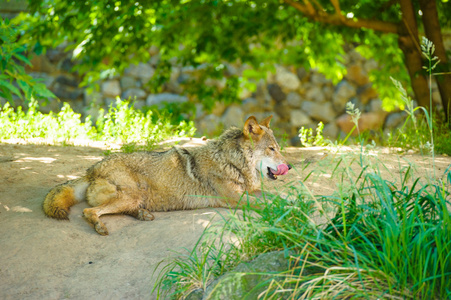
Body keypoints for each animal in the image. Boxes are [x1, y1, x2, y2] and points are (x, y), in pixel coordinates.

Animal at [43, 116, 294, 236]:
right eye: (271, 149)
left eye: (278, 148)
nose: (289, 166)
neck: (232, 162)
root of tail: (91, 170)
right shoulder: (235, 199)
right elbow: (269, 205)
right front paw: (288, 210)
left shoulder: (252, 191)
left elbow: (278, 198)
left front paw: (296, 202)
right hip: (131, 194)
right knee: (89, 211)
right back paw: (101, 227)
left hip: (134, 197)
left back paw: (143, 215)